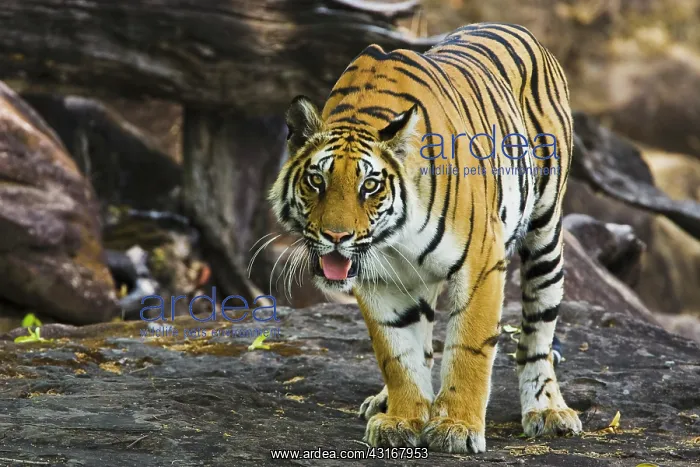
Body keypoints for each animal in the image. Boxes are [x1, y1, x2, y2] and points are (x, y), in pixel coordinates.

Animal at [268, 22, 580, 453]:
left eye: (369, 185)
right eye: (317, 181)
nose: (336, 236)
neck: (395, 236)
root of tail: (517, 27)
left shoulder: (482, 261)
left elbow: (469, 348)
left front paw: (457, 427)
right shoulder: (379, 277)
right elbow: (397, 353)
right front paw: (402, 418)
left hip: (545, 233)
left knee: (538, 333)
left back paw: (548, 410)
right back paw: (387, 400)